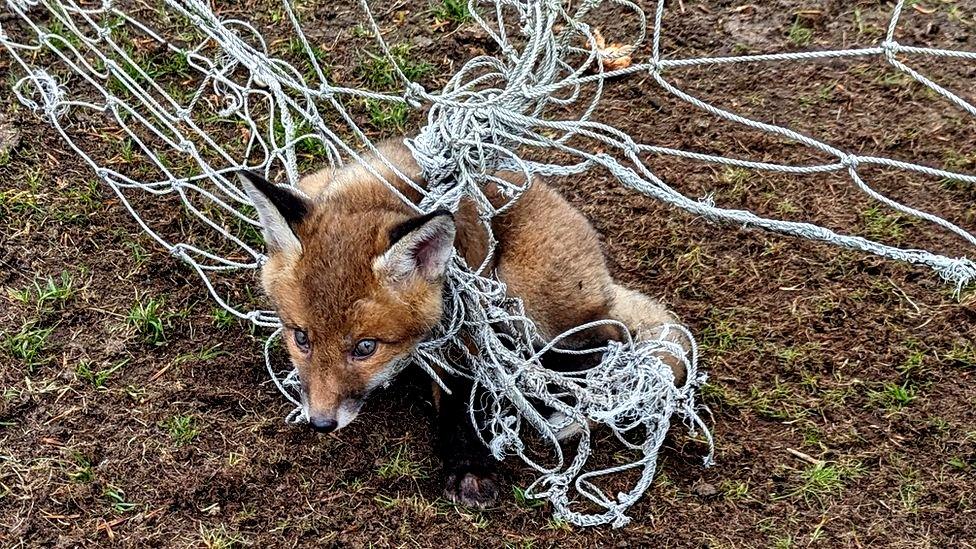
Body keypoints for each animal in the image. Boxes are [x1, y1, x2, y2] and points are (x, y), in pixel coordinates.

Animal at [240, 139, 692, 508]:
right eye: (301, 338)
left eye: (365, 347)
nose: (321, 424)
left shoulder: (468, 326)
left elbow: (460, 397)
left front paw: (469, 466)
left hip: (521, 293)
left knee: (607, 341)